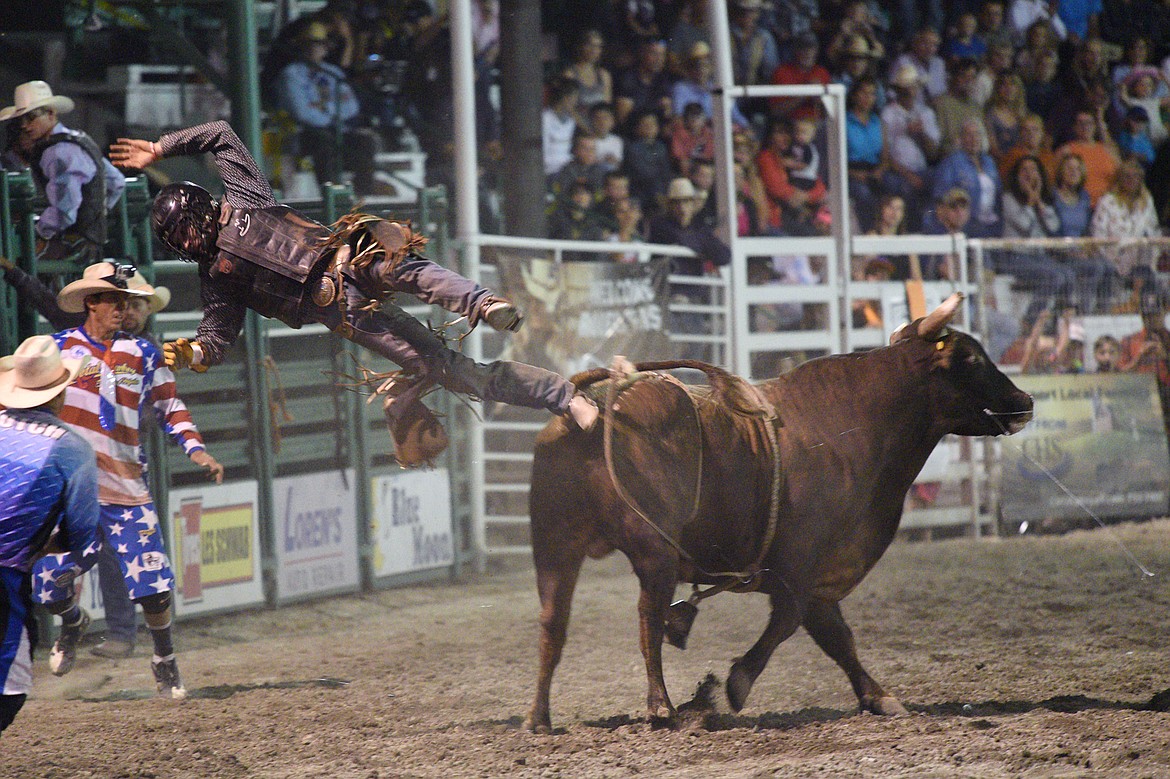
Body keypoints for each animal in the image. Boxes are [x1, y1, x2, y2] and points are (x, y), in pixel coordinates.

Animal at [526, 291, 1029, 729]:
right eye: (971, 358)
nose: (1024, 400)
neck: (858, 421)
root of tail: (592, 409)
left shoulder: (823, 572)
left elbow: (837, 637)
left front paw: (879, 697)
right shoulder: (799, 563)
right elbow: (788, 621)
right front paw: (735, 684)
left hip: (555, 544)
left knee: (553, 623)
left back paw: (540, 717)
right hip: (654, 552)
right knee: (648, 618)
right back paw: (660, 706)